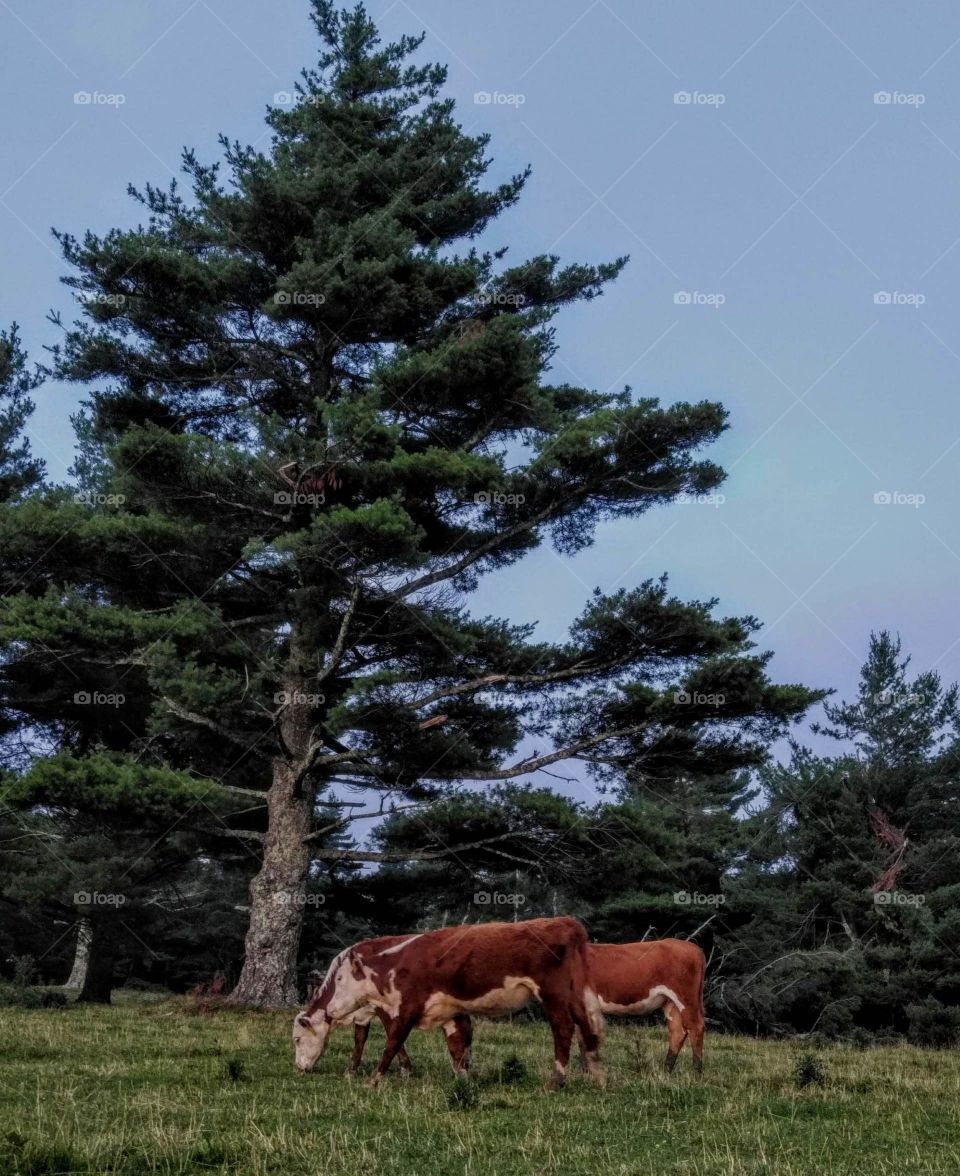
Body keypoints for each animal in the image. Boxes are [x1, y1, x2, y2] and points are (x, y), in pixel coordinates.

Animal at [293, 916, 602, 1089]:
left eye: (341, 978)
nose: (299, 1068)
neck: (393, 964)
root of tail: (567, 923)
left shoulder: (402, 1008)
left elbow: (391, 1042)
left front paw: (373, 1079)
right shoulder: (450, 1012)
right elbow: (456, 1047)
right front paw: (464, 1080)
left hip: (553, 994)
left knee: (563, 1030)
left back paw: (556, 1081)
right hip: (575, 997)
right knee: (587, 1029)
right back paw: (597, 1076)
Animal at [582, 939, 706, 1073]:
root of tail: (694, 948)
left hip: (687, 998)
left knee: (695, 1027)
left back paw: (696, 1072)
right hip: (671, 1003)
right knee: (677, 1031)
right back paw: (666, 1071)